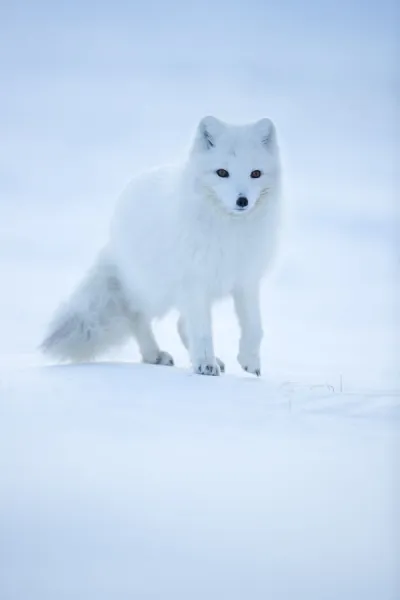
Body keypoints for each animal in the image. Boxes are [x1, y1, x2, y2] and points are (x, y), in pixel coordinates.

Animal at [41, 116, 282, 376]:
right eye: (222, 172)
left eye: (255, 173)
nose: (242, 200)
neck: (230, 230)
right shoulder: (194, 281)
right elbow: (202, 331)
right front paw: (204, 364)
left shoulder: (246, 280)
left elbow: (255, 327)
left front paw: (249, 360)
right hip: (154, 290)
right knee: (137, 315)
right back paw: (154, 354)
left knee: (180, 324)